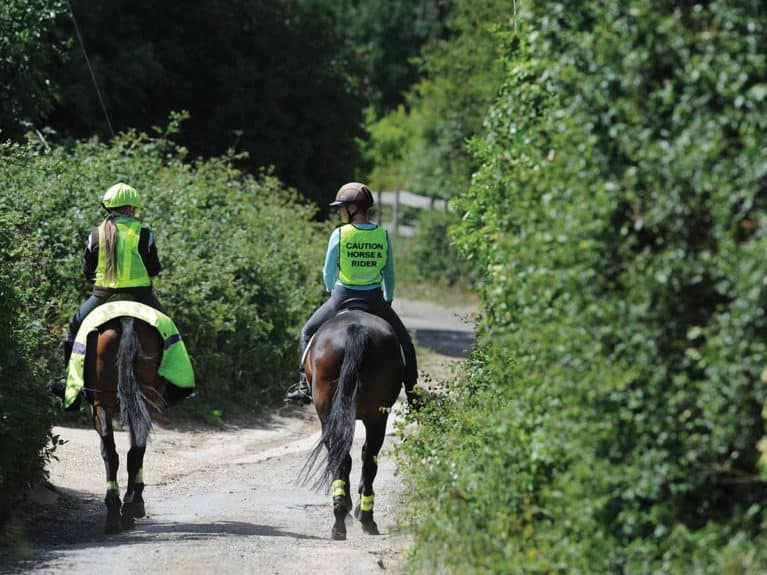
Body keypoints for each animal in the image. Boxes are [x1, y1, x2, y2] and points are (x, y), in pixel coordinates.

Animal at [85, 318, 167, 532]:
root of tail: (127, 320)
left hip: (103, 400)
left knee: (112, 451)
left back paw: (119, 510)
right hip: (142, 399)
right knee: (135, 451)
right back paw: (128, 508)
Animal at [298, 310, 402, 540]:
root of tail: (356, 329)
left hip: (337, 414)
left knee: (344, 457)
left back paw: (344, 519)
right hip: (375, 417)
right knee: (366, 458)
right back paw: (361, 518)